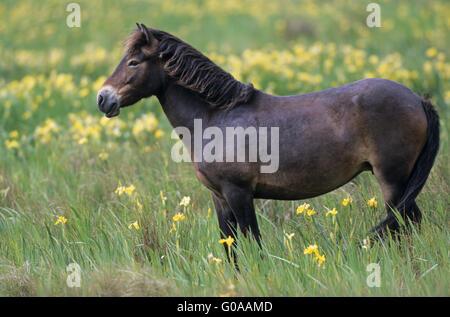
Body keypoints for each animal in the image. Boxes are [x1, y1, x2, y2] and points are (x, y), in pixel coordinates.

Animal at [97, 24, 440, 256]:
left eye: (134, 62)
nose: (103, 99)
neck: (216, 117)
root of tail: (418, 99)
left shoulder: (239, 193)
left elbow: (254, 243)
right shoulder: (220, 197)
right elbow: (231, 247)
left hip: (393, 179)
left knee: (406, 222)